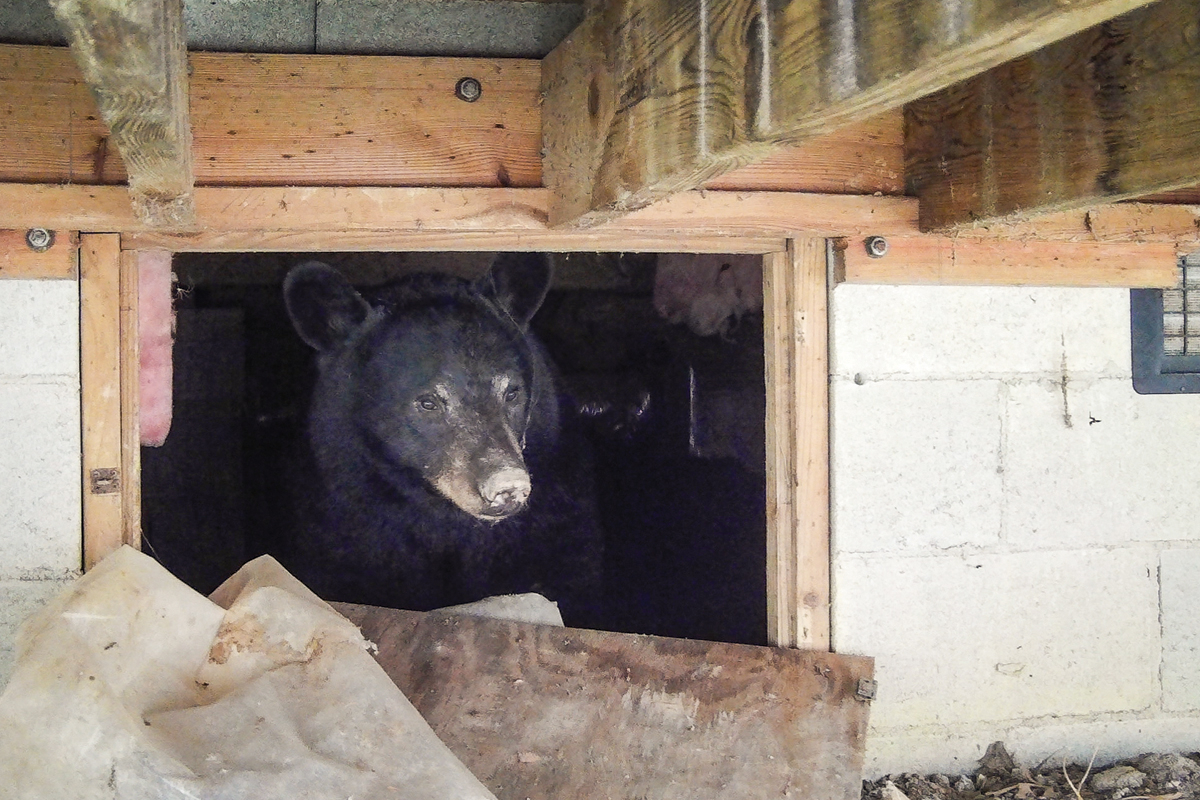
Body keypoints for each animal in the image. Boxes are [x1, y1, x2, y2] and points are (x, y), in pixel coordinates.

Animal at [281, 254, 603, 626]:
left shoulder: (558, 508)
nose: (506, 485)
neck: (440, 515)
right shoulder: (342, 513)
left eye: (512, 392)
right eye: (427, 403)